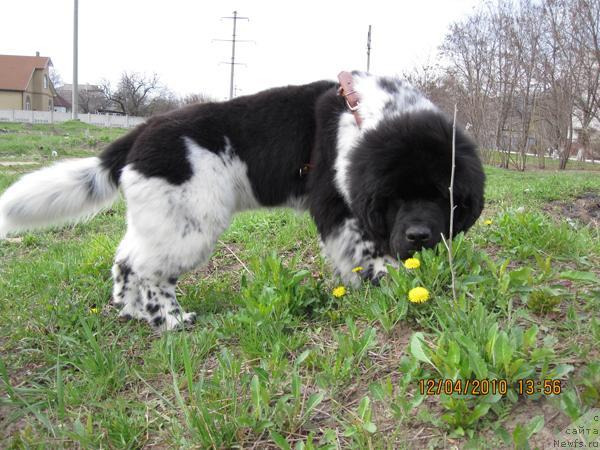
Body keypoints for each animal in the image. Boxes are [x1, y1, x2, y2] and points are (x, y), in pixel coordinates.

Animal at [0, 71, 482, 330]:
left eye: (444, 195)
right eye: (396, 197)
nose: (419, 236)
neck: (366, 119)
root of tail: (140, 133)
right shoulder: (339, 206)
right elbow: (366, 251)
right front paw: (393, 283)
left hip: (158, 217)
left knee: (126, 261)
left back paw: (133, 311)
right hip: (188, 224)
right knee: (148, 270)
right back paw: (170, 320)